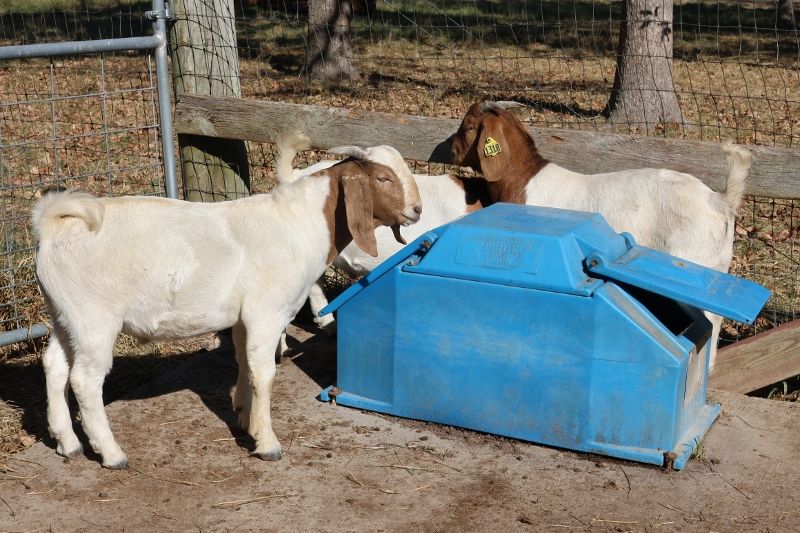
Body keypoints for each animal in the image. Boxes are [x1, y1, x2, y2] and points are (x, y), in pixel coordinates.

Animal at [454, 101, 752, 370]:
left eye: (467, 127)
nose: (451, 150)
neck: (521, 177)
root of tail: (718, 200)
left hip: (692, 259)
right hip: (718, 263)